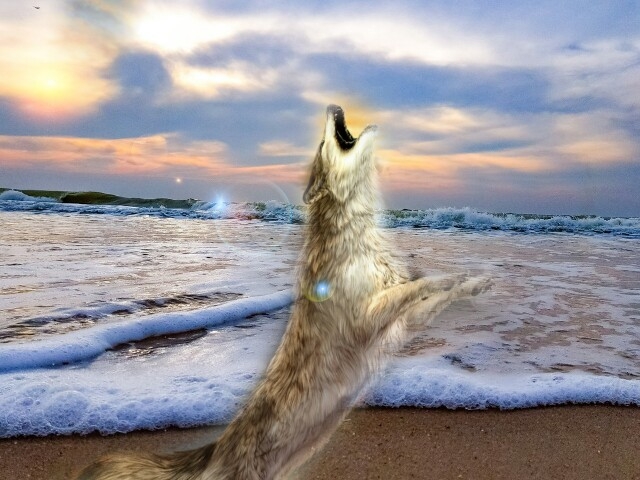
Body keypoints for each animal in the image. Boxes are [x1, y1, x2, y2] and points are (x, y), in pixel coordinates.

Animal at [76, 105, 491, 480]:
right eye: (323, 142)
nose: (333, 106)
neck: (354, 231)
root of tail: (215, 448)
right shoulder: (367, 316)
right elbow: (421, 285)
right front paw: (454, 280)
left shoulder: (400, 325)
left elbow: (435, 291)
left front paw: (474, 281)